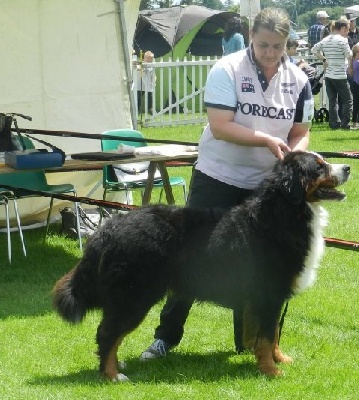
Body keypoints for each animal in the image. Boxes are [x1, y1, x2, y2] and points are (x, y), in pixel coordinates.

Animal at [53, 151, 352, 382]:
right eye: (319, 167)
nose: (348, 167)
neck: (285, 212)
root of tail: (110, 227)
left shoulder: (262, 298)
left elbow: (270, 334)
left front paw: (278, 359)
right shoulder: (269, 294)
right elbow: (268, 336)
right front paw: (271, 371)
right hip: (132, 296)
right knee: (107, 333)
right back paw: (112, 374)